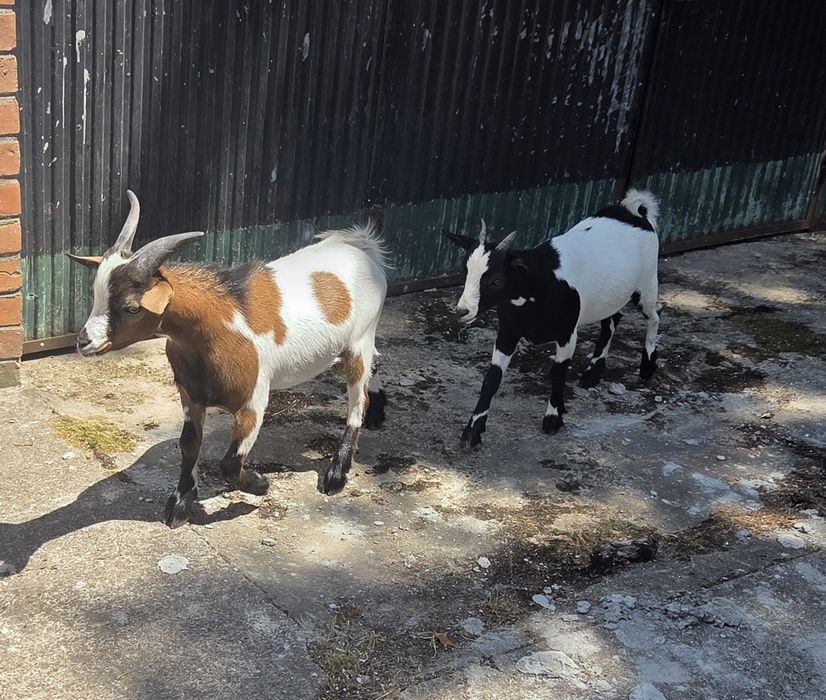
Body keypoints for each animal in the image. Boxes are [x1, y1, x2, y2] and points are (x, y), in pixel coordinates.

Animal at [68, 190, 388, 527]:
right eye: (96, 294)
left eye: (132, 307)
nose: (84, 342)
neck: (218, 327)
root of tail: (363, 248)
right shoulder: (191, 395)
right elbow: (189, 445)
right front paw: (180, 503)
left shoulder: (252, 403)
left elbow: (229, 464)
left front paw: (260, 484)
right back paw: (378, 411)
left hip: (359, 340)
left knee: (357, 400)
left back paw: (337, 474)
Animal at [444, 189, 660, 448]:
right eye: (465, 272)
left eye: (496, 281)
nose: (462, 311)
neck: (539, 283)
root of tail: (635, 210)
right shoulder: (508, 331)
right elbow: (492, 378)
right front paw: (472, 431)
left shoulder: (567, 333)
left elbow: (558, 373)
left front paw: (553, 419)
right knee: (611, 320)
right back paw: (593, 373)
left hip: (647, 284)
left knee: (654, 316)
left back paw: (647, 366)